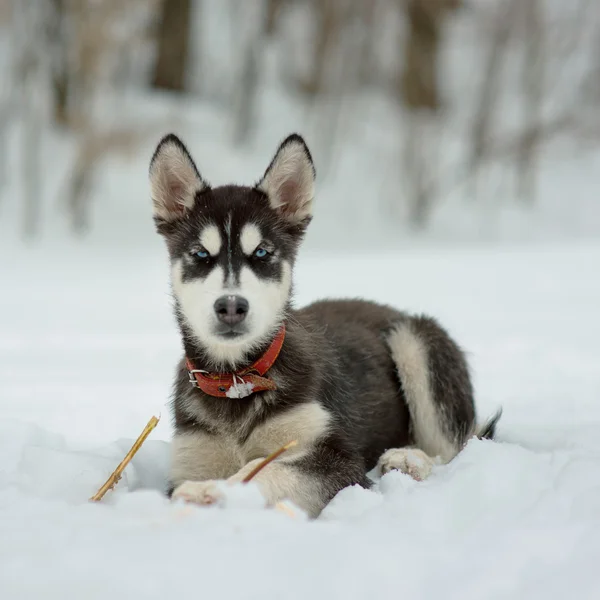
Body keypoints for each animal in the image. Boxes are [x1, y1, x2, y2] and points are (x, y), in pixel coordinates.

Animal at [150, 134, 502, 516]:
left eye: (262, 253)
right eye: (201, 254)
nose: (231, 306)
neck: (237, 381)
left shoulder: (339, 458)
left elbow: (266, 469)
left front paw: (213, 491)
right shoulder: (191, 458)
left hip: (415, 343)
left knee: (452, 449)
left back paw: (407, 460)